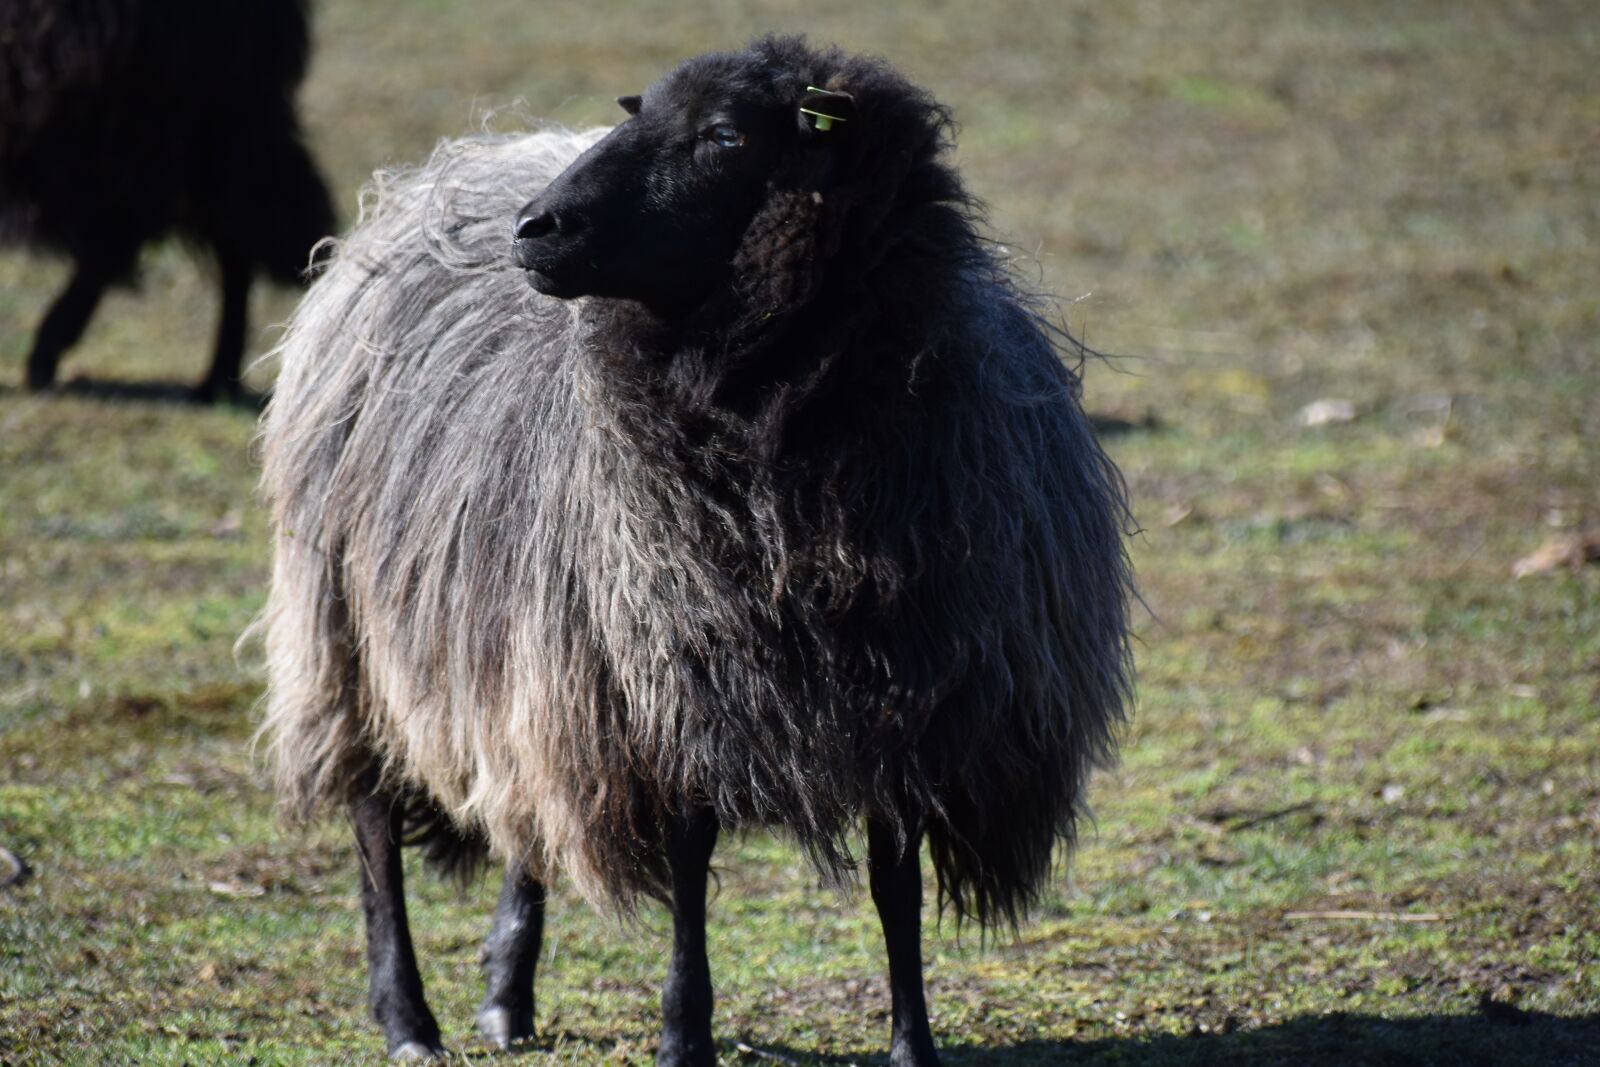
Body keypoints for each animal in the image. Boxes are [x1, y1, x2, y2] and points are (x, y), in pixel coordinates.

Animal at [258, 36, 1135, 1065]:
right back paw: (407, 1016)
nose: (535, 228)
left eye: (724, 136)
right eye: (641, 115)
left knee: (525, 809)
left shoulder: (910, 697)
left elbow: (897, 884)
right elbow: (687, 869)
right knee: (372, 821)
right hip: (348, 629)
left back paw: (507, 996)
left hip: (522, 642)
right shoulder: (663, 683)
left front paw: (912, 1043)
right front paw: (683, 1034)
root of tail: (459, 167)